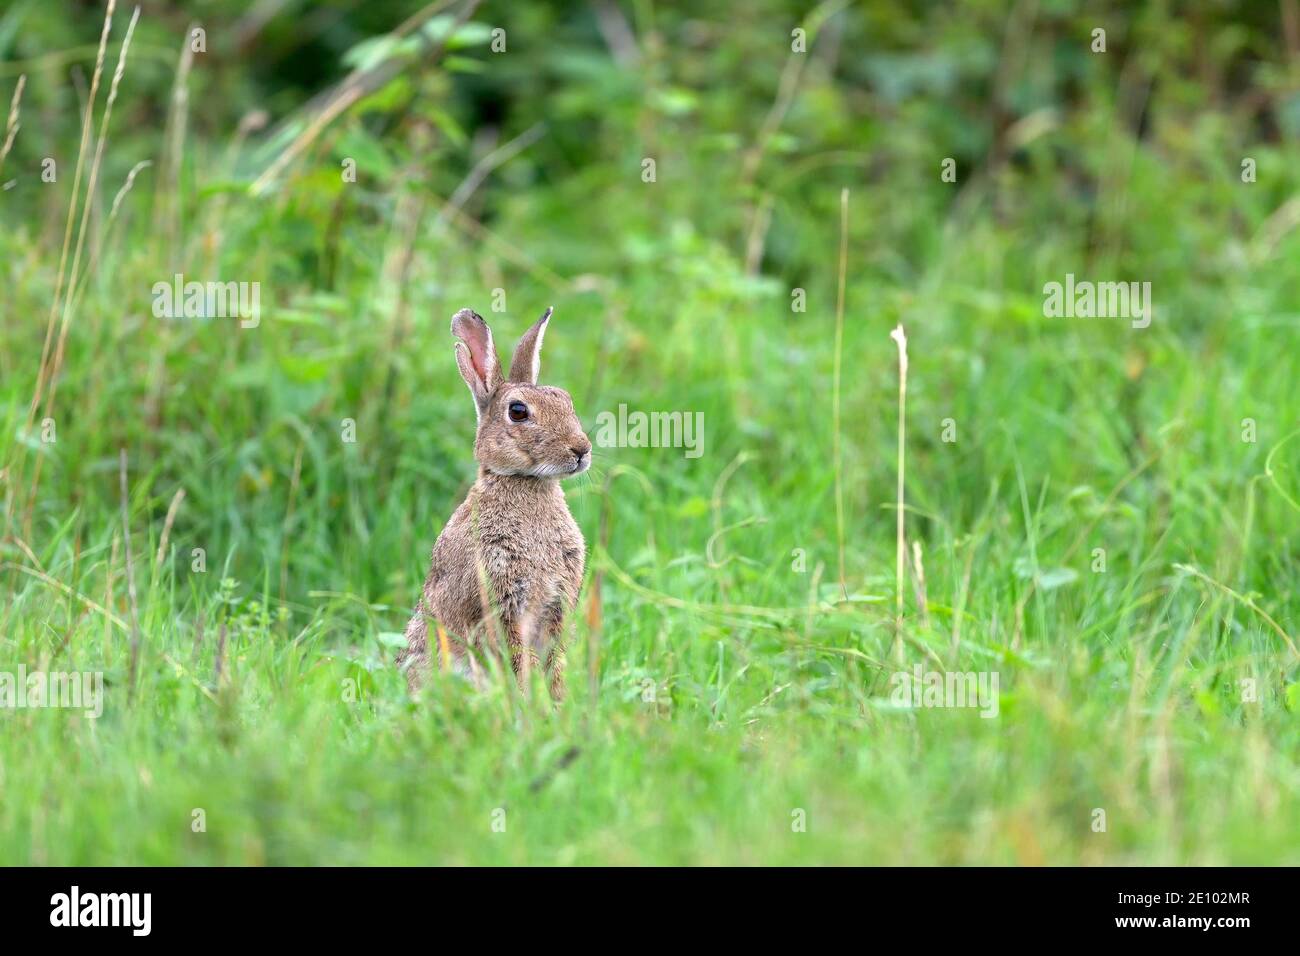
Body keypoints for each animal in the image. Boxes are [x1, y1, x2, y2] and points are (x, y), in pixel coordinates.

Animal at [397, 308, 592, 702]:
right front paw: (529, 703)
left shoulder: (556, 605)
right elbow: (518, 658)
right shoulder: (498, 602)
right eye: (517, 411)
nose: (582, 449)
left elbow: (554, 661)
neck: (524, 482)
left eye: (566, 400)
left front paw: (556, 703)